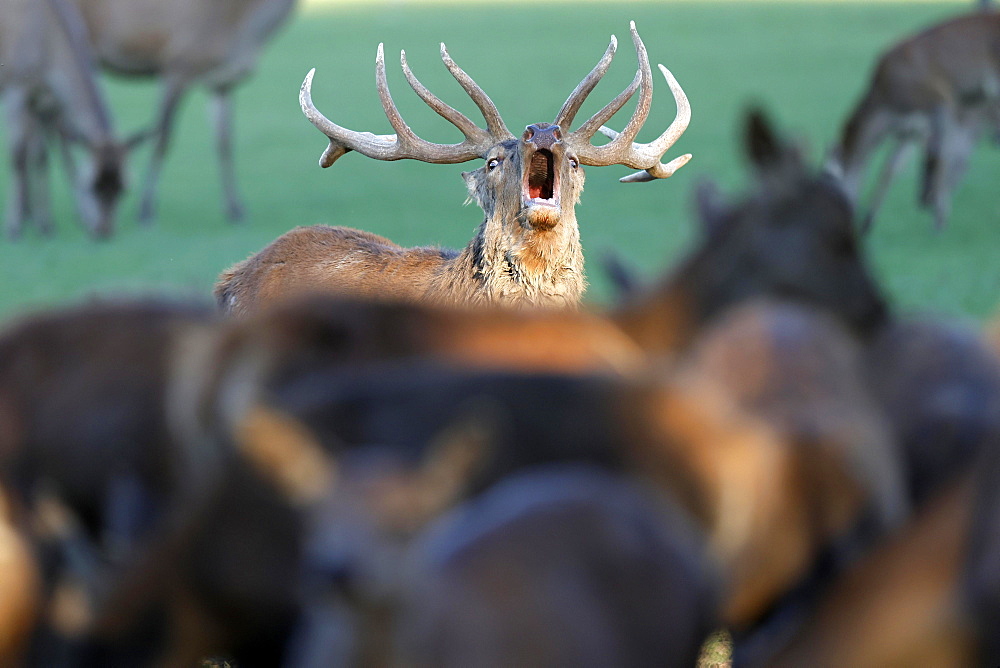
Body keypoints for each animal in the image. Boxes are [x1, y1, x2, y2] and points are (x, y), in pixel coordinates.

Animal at [0, 0, 129, 240]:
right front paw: (14, 227)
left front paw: (45, 224)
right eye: (91, 185)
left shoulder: (47, 102)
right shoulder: (16, 88)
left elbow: (40, 157)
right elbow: (18, 157)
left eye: (122, 187)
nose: (104, 231)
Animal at [71, 0, 296, 224]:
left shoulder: (222, 83)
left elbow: (224, 143)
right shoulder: (177, 64)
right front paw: (145, 209)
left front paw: (236, 209)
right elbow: (162, 139)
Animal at [828, 11, 1000, 232]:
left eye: (826, 180)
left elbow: (942, 156)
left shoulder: (941, 102)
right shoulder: (911, 130)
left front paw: (939, 219)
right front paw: (868, 221)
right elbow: (890, 169)